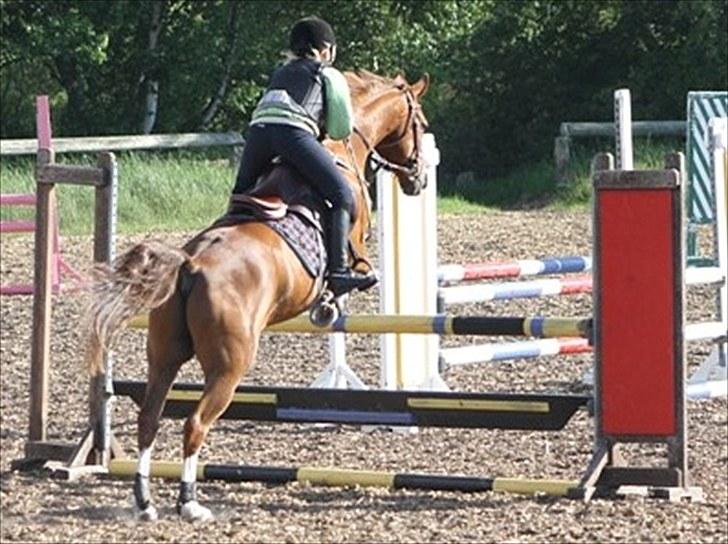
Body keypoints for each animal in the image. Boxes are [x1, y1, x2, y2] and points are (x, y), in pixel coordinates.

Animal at [85, 70, 430, 520]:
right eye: (420, 123)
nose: (419, 179)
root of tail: (189, 263)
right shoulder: (355, 241)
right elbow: (350, 273)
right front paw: (332, 301)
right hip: (229, 367)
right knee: (195, 424)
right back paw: (189, 503)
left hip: (164, 356)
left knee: (150, 418)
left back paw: (145, 502)